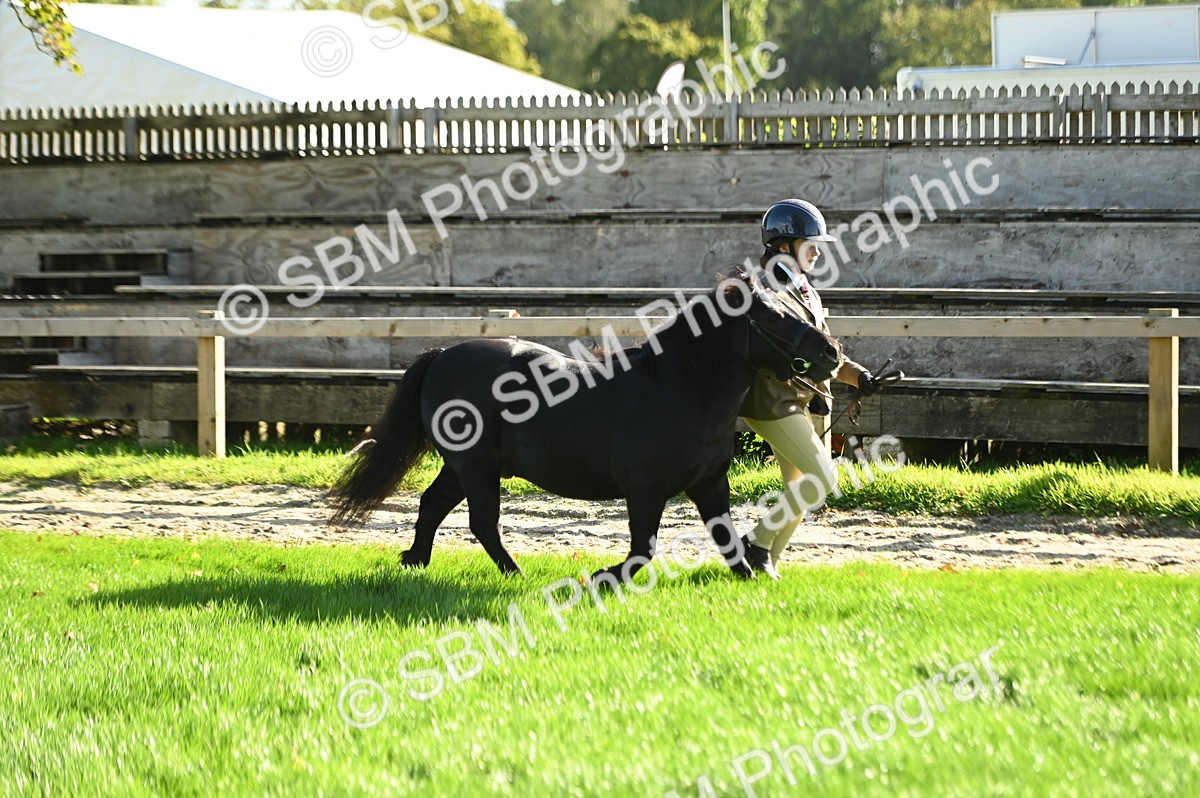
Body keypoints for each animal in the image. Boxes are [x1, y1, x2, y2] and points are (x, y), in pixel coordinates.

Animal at [328, 267, 843, 583]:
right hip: (476, 468)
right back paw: (515, 574)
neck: (680, 388)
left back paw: (416, 561)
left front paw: (753, 575)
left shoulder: (710, 484)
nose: (831, 352)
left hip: (463, 467)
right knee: (481, 522)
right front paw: (602, 579)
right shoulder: (645, 488)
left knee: (432, 504)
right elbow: (642, 549)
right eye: (771, 315)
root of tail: (440, 356)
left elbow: (727, 538)